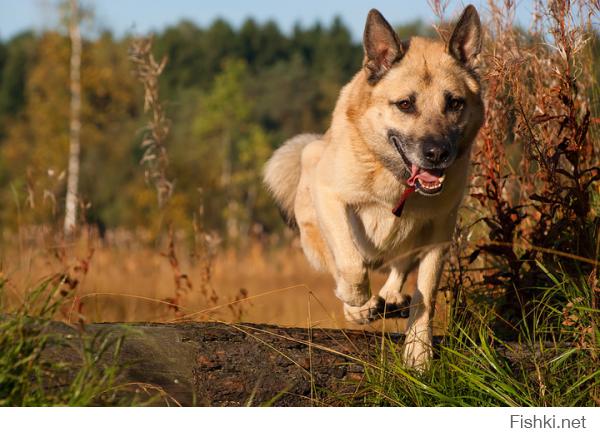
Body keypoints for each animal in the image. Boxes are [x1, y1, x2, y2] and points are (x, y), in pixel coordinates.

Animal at [264, 5, 486, 368]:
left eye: (454, 103)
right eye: (405, 104)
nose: (437, 153)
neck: (398, 184)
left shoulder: (439, 235)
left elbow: (425, 297)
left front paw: (418, 353)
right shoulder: (331, 198)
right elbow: (350, 265)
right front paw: (357, 302)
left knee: (399, 269)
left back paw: (391, 298)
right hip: (312, 200)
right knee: (343, 262)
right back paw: (361, 306)